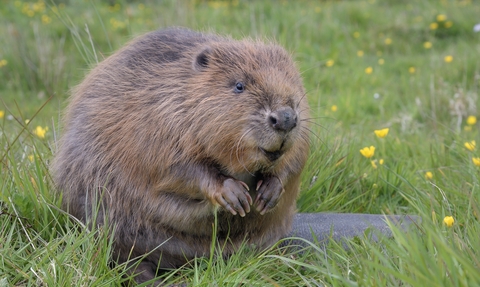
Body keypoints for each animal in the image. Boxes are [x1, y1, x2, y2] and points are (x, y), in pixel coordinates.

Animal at [50, 28, 310, 284]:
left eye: (293, 81)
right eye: (239, 85)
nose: (285, 118)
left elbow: (296, 159)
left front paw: (269, 191)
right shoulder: (158, 121)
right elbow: (178, 169)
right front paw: (233, 195)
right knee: (124, 259)